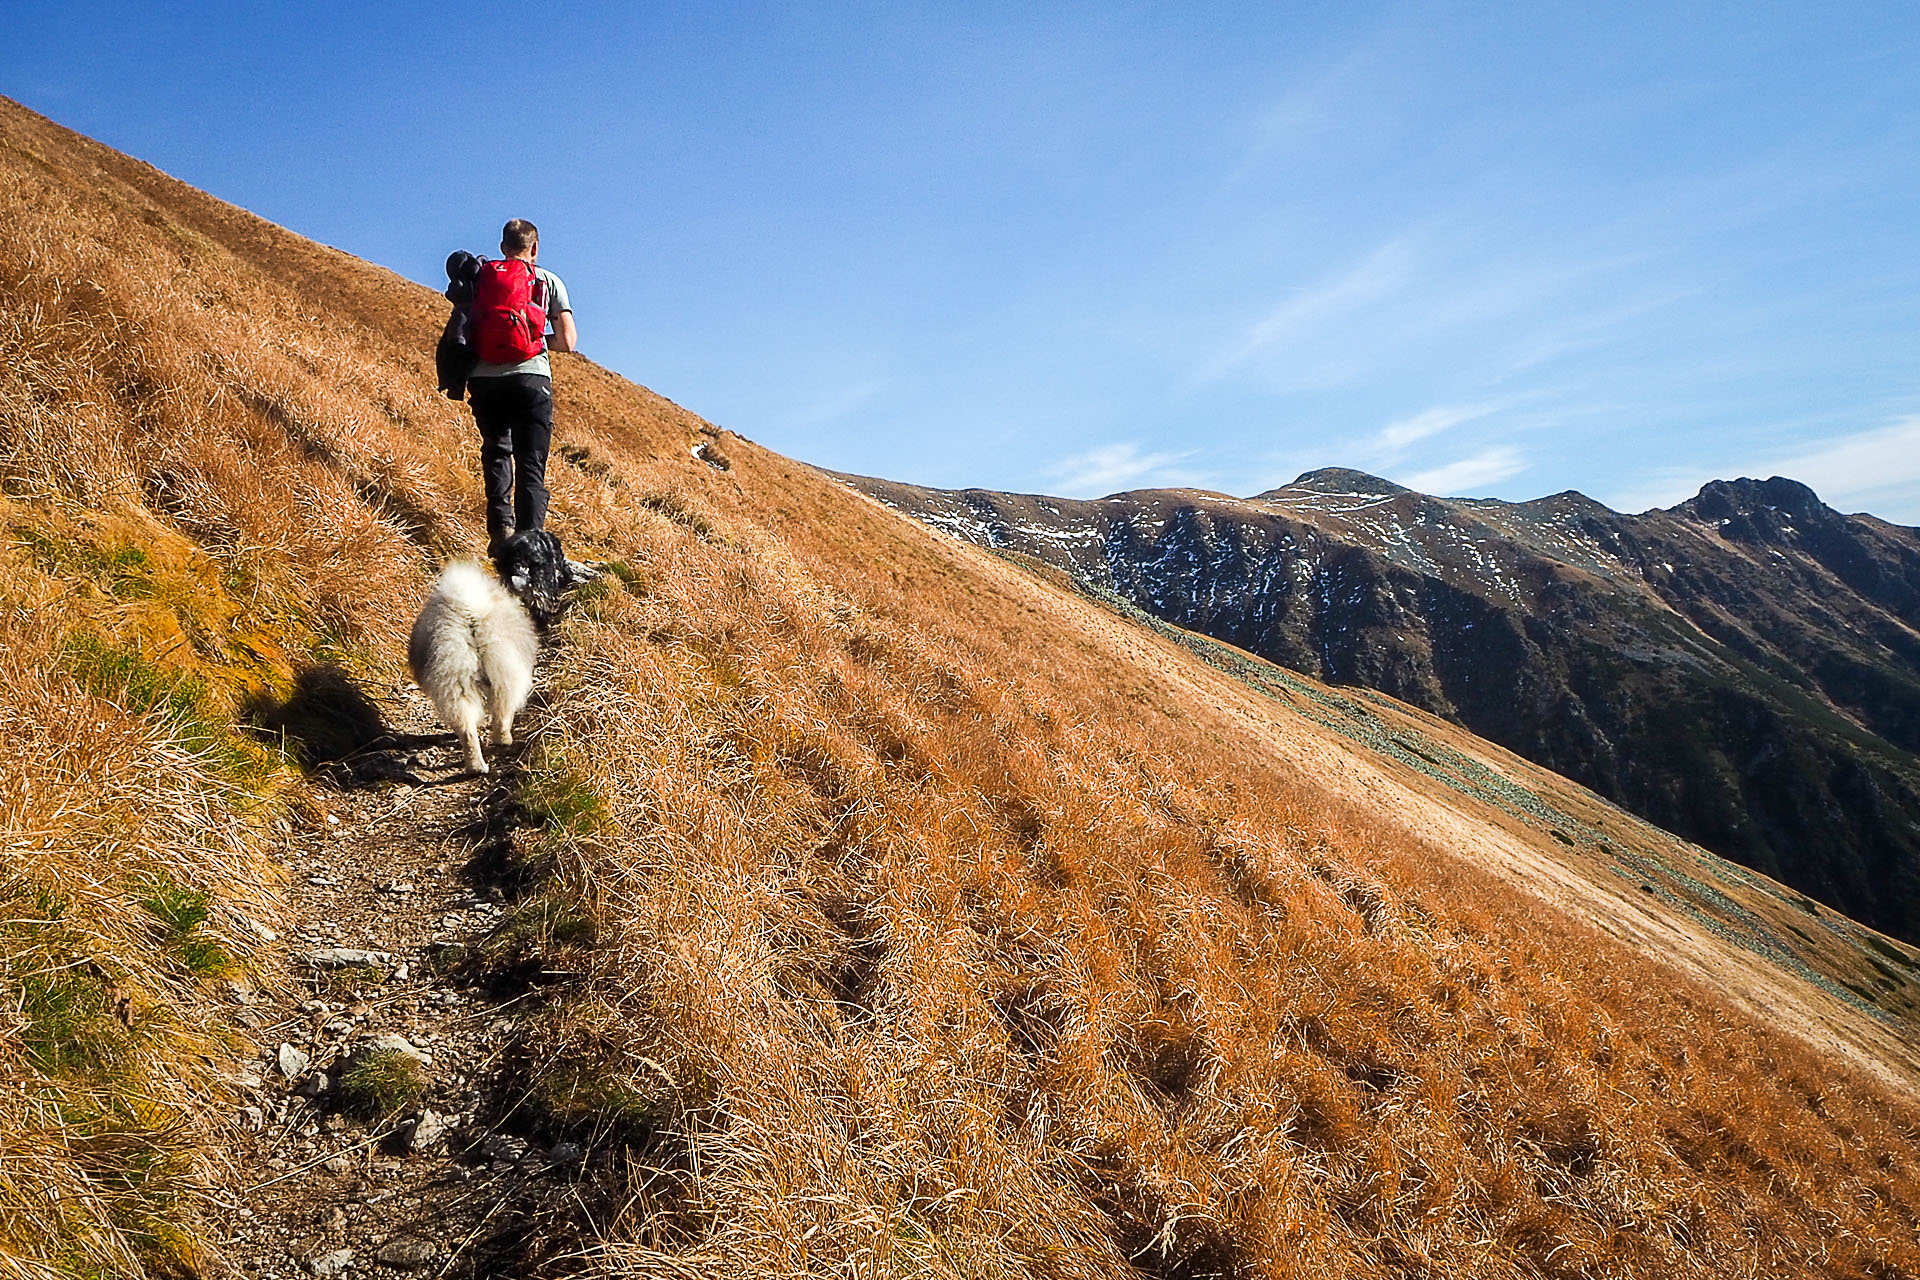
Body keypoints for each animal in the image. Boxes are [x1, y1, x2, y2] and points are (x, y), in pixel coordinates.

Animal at [408, 560, 537, 771]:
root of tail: (470, 614)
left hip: (455, 680)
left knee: (466, 727)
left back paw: (475, 767)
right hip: (506, 673)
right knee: (502, 713)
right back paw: (503, 742)